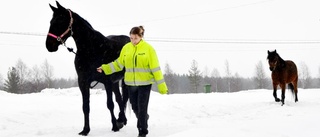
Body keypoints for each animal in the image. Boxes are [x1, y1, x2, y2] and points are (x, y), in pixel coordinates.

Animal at [45, 1, 130, 136]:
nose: (49, 45)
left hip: (124, 80)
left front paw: (114, 127)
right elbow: (85, 107)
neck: (92, 49)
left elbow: (110, 104)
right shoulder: (83, 82)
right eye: (51, 21)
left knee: (124, 98)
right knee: (119, 99)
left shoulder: (106, 81)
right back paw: (121, 121)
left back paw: (120, 121)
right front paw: (85, 130)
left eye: (60, 21)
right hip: (115, 82)